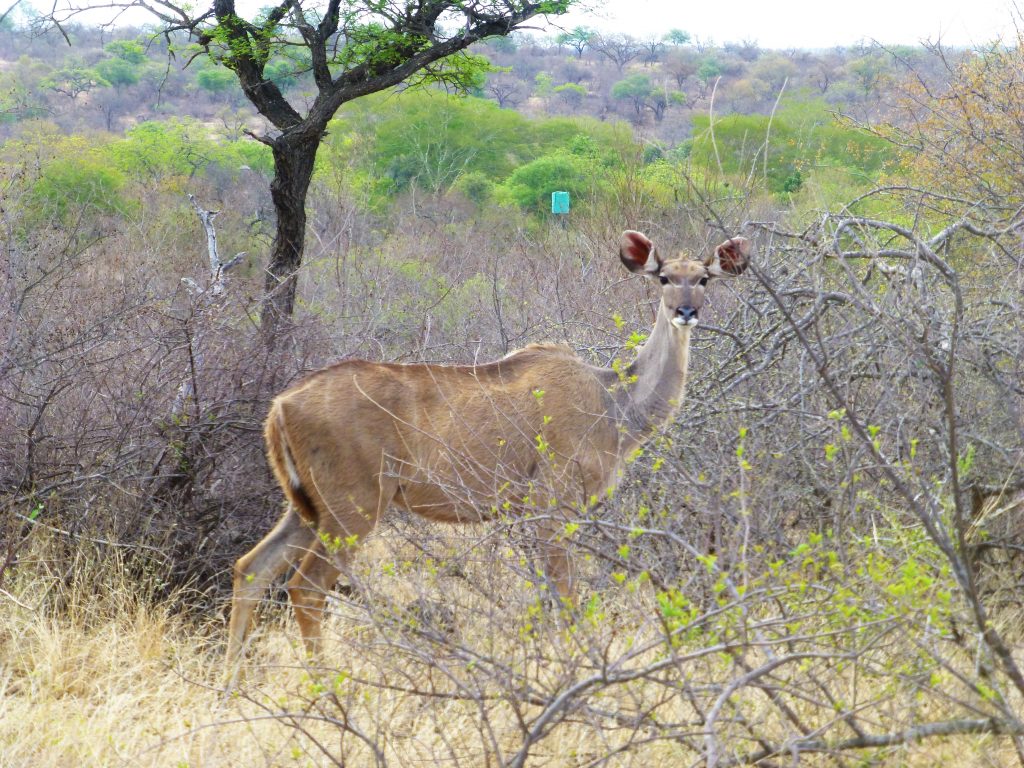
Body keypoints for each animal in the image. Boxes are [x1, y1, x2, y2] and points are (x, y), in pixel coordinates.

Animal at [226, 233, 753, 671]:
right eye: (664, 278)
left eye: (703, 279)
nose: (686, 311)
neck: (613, 400)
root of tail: (281, 406)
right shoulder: (553, 504)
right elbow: (565, 592)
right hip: (352, 508)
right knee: (306, 586)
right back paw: (329, 688)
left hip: (307, 509)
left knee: (251, 569)